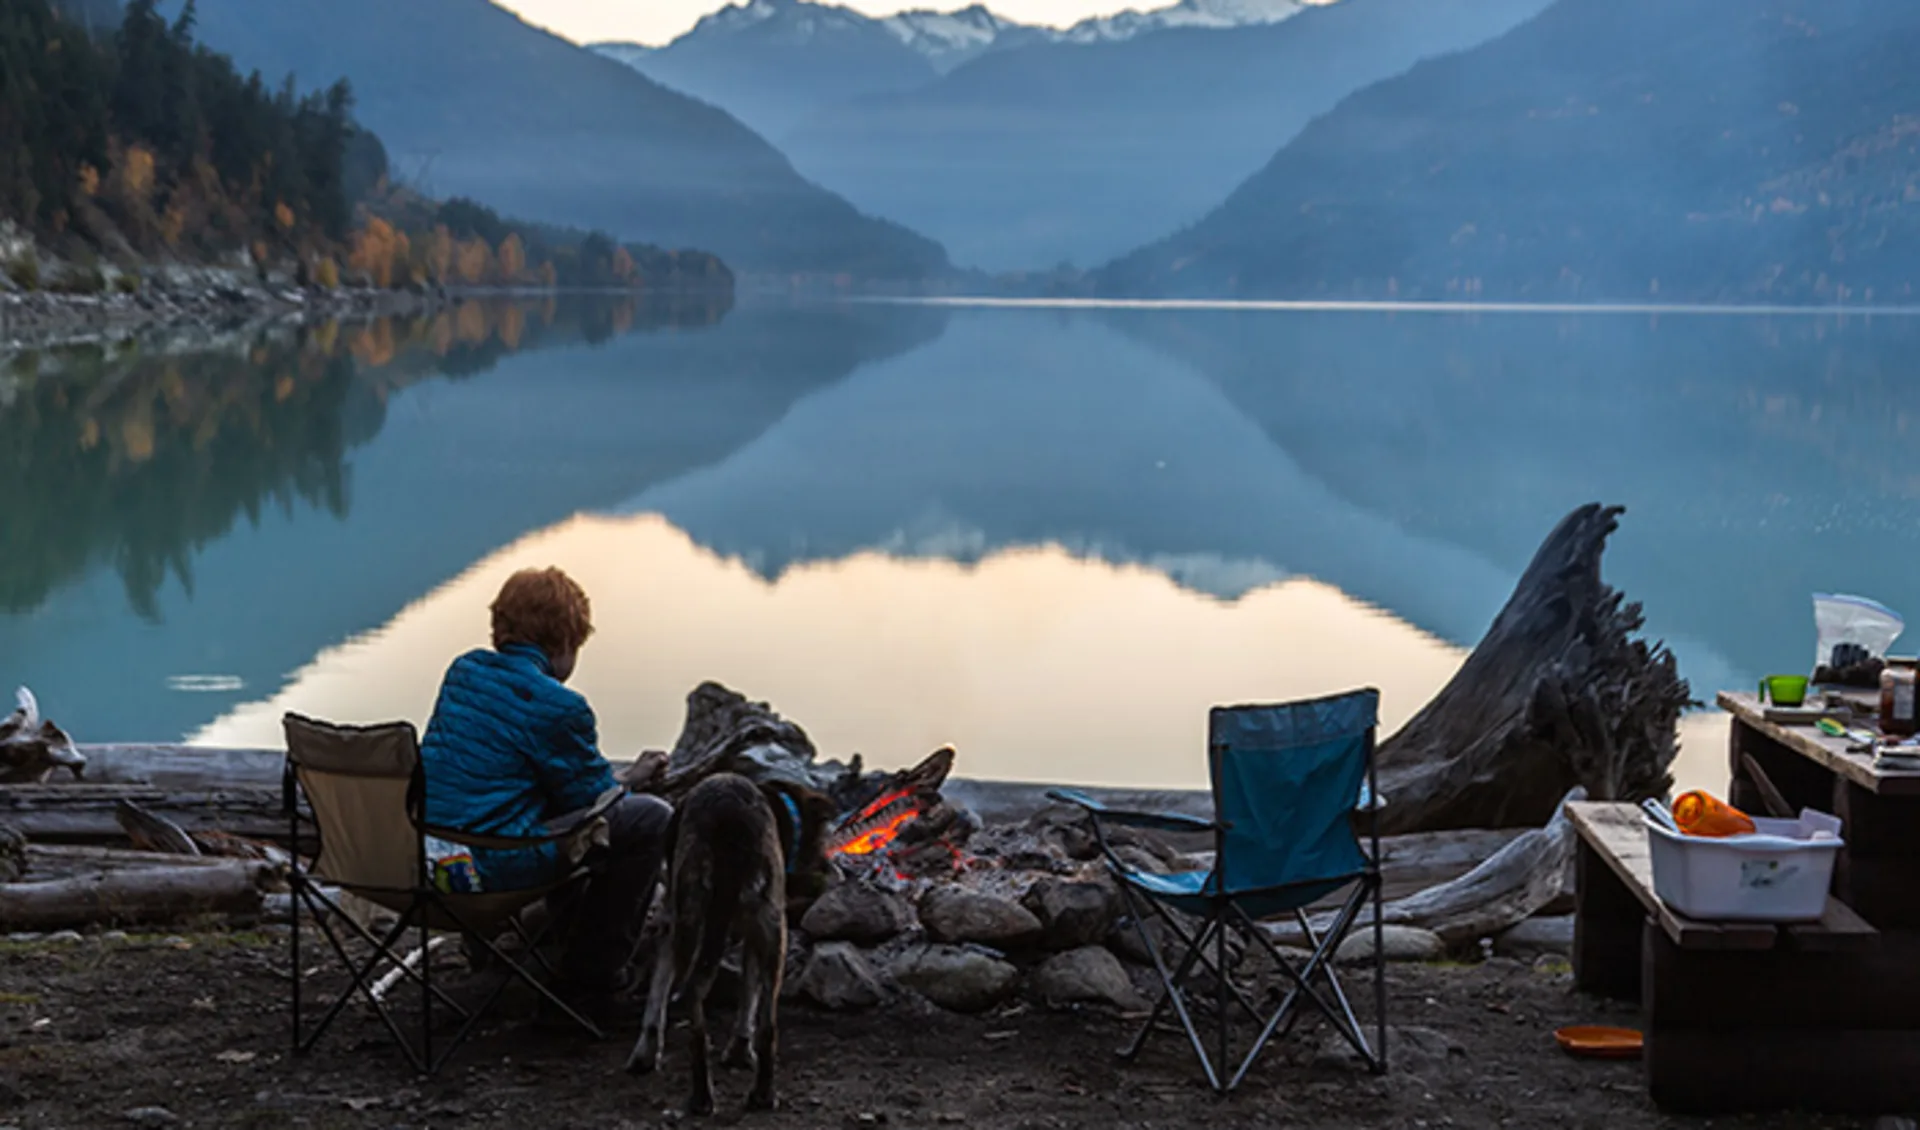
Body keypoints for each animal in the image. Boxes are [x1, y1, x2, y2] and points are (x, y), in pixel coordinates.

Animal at [629, 771, 833, 1112]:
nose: (828, 874)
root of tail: (729, 820)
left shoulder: (673, 921)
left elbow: (658, 993)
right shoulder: (754, 934)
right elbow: (749, 994)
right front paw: (739, 1051)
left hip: (691, 918)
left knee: (691, 995)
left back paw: (700, 1094)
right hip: (772, 928)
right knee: (767, 1023)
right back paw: (762, 1094)